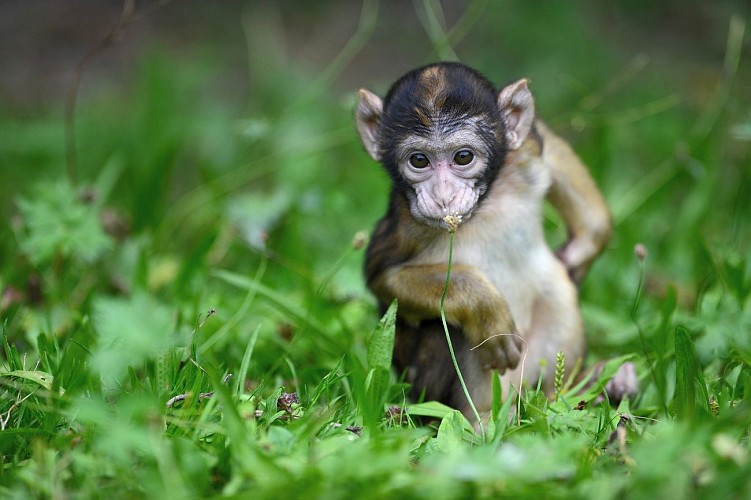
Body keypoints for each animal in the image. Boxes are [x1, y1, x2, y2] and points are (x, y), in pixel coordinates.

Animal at [356, 61, 636, 414]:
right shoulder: (408, 224)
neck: (486, 202)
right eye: (419, 160)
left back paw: (587, 389)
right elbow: (385, 279)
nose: (444, 197)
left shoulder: (523, 152)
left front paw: (585, 245)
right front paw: (484, 308)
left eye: (463, 157)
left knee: (558, 293)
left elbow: (547, 145)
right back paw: (486, 418)